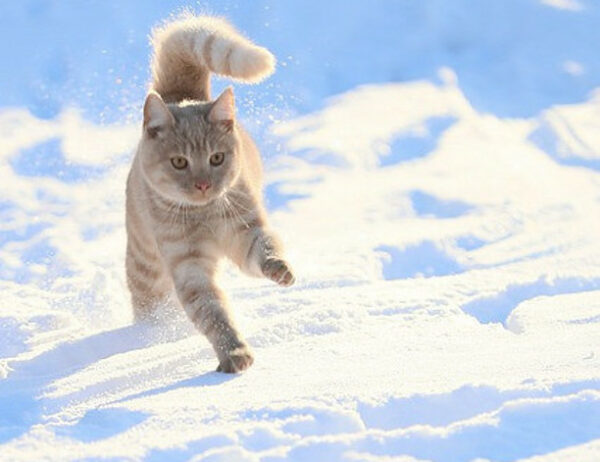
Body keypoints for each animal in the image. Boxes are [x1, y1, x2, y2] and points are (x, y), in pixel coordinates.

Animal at [126, 14, 296, 374]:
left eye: (216, 158)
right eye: (179, 162)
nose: (203, 184)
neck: (204, 215)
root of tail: (180, 96)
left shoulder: (246, 231)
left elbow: (266, 249)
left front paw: (279, 268)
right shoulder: (189, 267)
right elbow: (213, 313)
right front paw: (234, 352)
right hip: (148, 271)